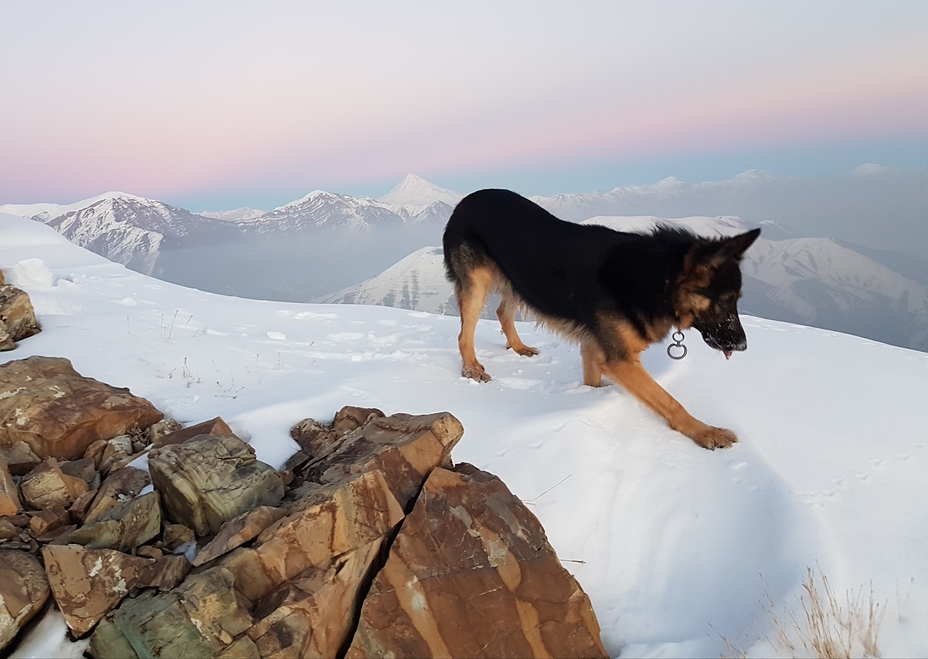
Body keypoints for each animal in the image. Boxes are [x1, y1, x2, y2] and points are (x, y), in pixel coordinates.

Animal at [444, 188, 760, 452]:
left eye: (737, 299)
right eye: (724, 301)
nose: (743, 346)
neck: (656, 278)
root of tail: (467, 199)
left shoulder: (594, 349)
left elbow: (593, 383)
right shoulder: (620, 360)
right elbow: (669, 400)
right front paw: (706, 432)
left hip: (518, 281)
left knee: (501, 312)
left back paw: (518, 347)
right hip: (477, 283)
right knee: (464, 333)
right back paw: (471, 368)